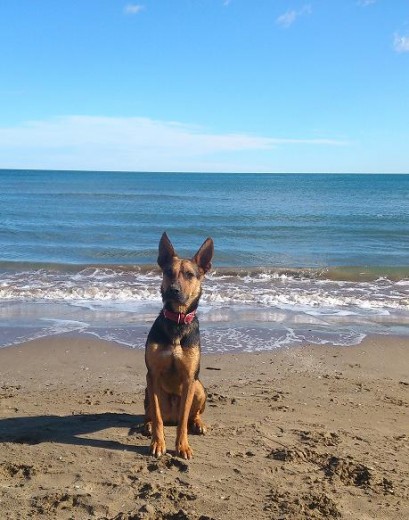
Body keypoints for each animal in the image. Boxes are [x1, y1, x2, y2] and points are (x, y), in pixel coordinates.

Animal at [143, 232, 214, 460]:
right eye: (168, 272)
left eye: (190, 275)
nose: (173, 290)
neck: (178, 320)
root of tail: (171, 417)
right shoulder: (153, 375)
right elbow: (157, 416)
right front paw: (158, 443)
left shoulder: (189, 378)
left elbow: (184, 419)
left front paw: (182, 446)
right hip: (148, 390)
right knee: (152, 414)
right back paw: (147, 425)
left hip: (199, 387)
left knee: (191, 415)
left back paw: (198, 423)